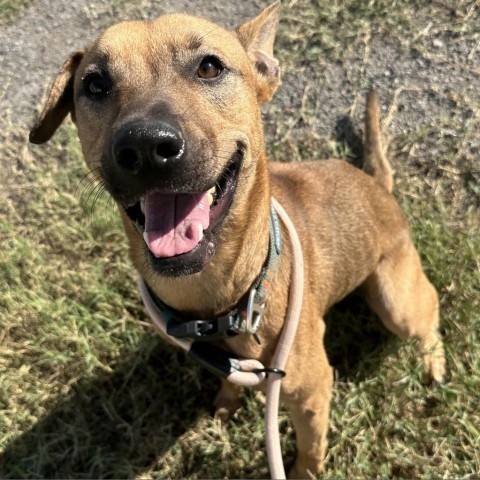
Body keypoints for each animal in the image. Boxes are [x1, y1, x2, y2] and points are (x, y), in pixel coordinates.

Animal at [31, 2, 446, 476]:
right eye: (95, 84)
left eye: (210, 67)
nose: (146, 146)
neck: (221, 298)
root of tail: (379, 186)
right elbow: (228, 381)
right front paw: (226, 403)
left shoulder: (312, 394)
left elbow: (309, 453)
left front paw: (302, 471)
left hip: (397, 301)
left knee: (429, 315)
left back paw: (434, 362)